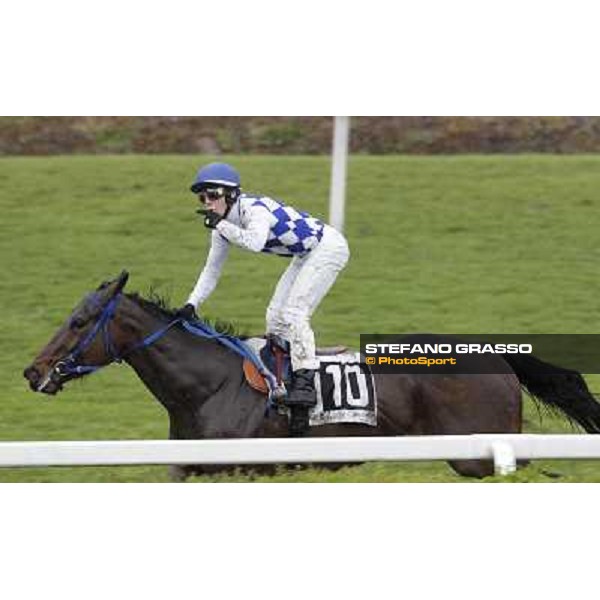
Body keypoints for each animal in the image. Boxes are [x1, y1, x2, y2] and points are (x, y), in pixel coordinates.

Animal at [23, 274, 600, 480]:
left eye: (79, 322)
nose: (33, 371)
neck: (207, 387)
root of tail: (497, 357)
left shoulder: (246, 469)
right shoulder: (189, 469)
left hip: (477, 452)